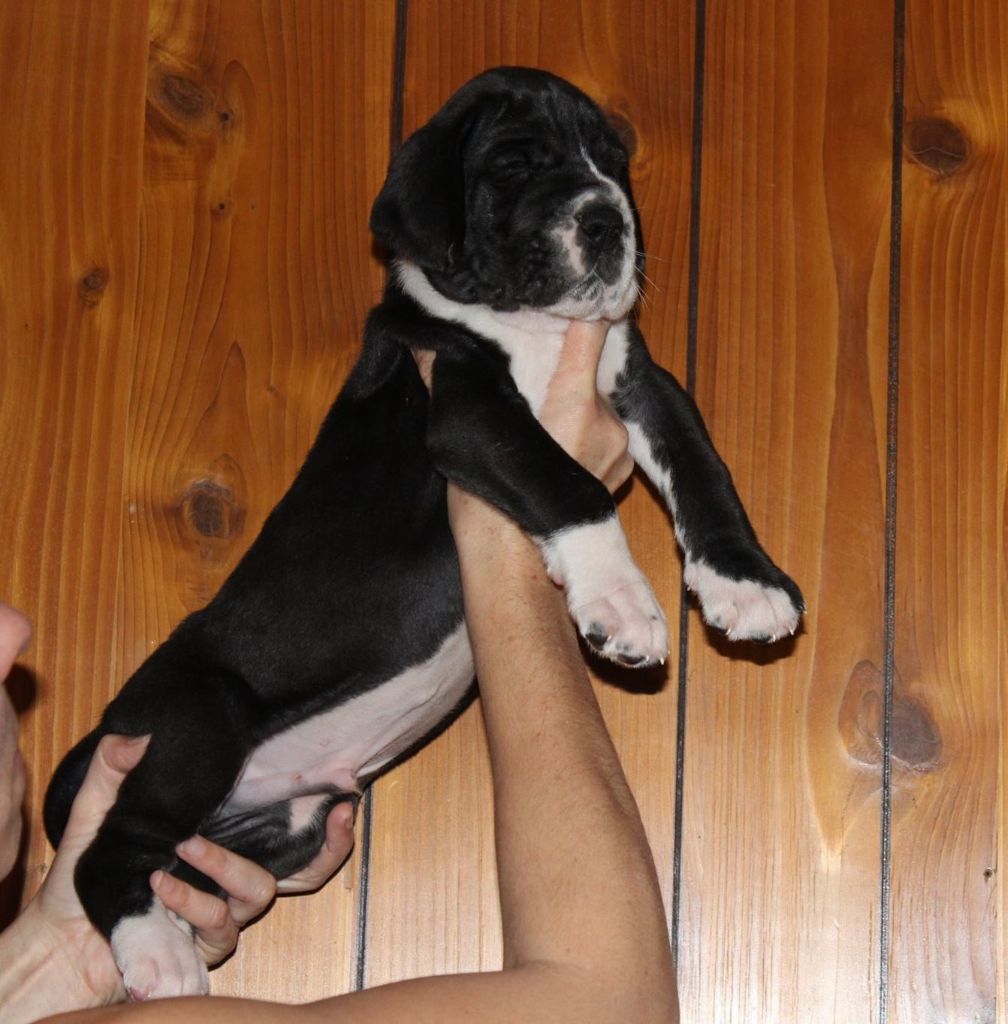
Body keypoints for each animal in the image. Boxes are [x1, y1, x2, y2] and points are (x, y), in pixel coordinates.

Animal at [43, 66, 804, 1000]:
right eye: (514, 164)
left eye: (612, 160)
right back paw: (159, 954)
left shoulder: (644, 383)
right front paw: (622, 604)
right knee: (109, 848)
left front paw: (746, 582)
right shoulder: (466, 409)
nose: (606, 219)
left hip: (281, 827)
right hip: (197, 719)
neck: (528, 326)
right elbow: (574, 482)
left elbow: (705, 471)